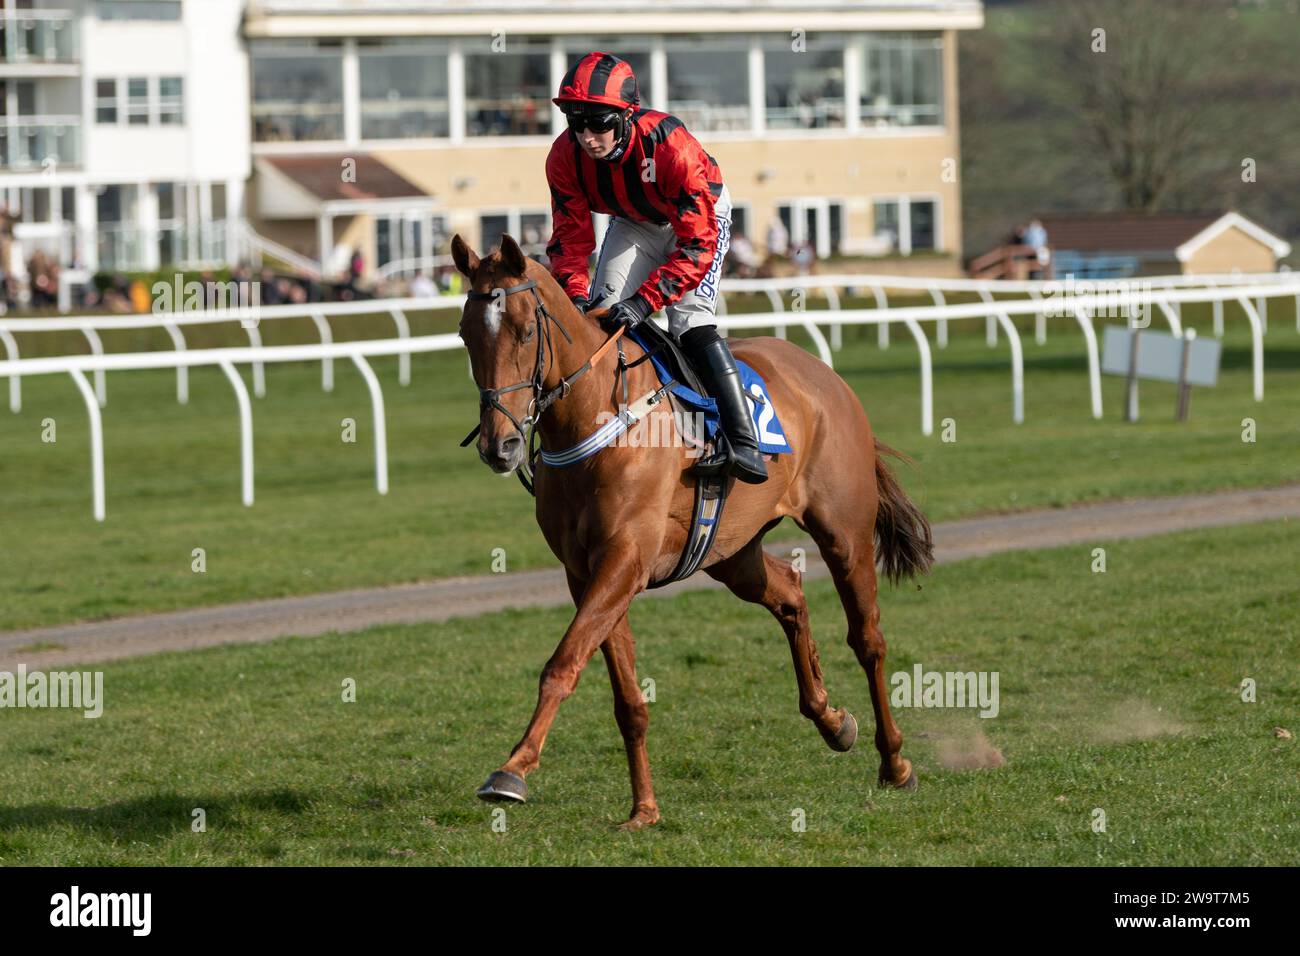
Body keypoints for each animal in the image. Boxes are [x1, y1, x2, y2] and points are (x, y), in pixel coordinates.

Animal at [452, 234, 930, 832]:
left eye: (522, 330)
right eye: (466, 333)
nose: (501, 446)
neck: (597, 418)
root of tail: (824, 374)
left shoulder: (625, 560)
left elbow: (562, 664)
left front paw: (513, 770)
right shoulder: (587, 573)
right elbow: (626, 699)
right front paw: (644, 809)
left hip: (844, 533)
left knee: (868, 639)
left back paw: (895, 762)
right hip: (732, 552)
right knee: (790, 592)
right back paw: (831, 719)